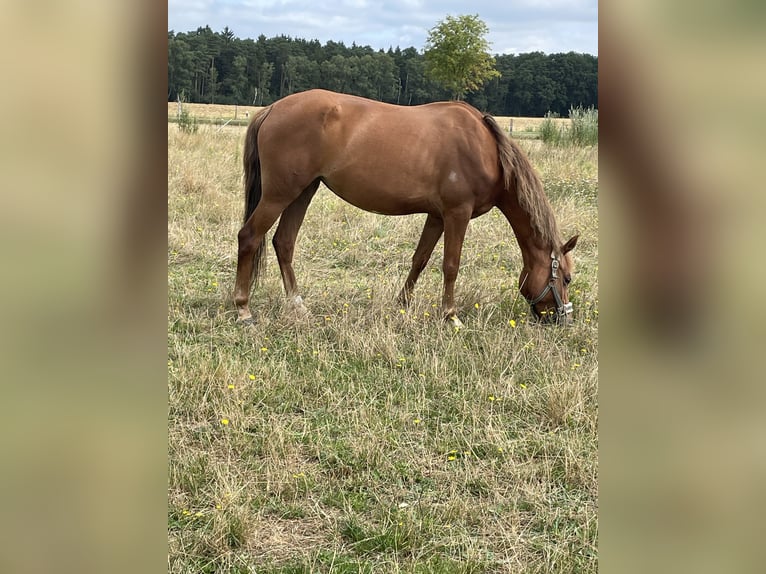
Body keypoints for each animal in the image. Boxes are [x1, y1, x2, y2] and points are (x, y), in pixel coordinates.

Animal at [234, 89, 578, 327]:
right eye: (567, 278)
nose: (563, 319)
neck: (486, 149)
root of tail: (271, 109)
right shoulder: (457, 214)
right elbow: (450, 265)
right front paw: (451, 316)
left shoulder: (437, 216)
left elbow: (420, 260)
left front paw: (402, 303)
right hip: (280, 194)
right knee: (249, 237)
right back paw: (243, 309)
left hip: (303, 192)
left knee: (284, 243)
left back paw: (297, 304)